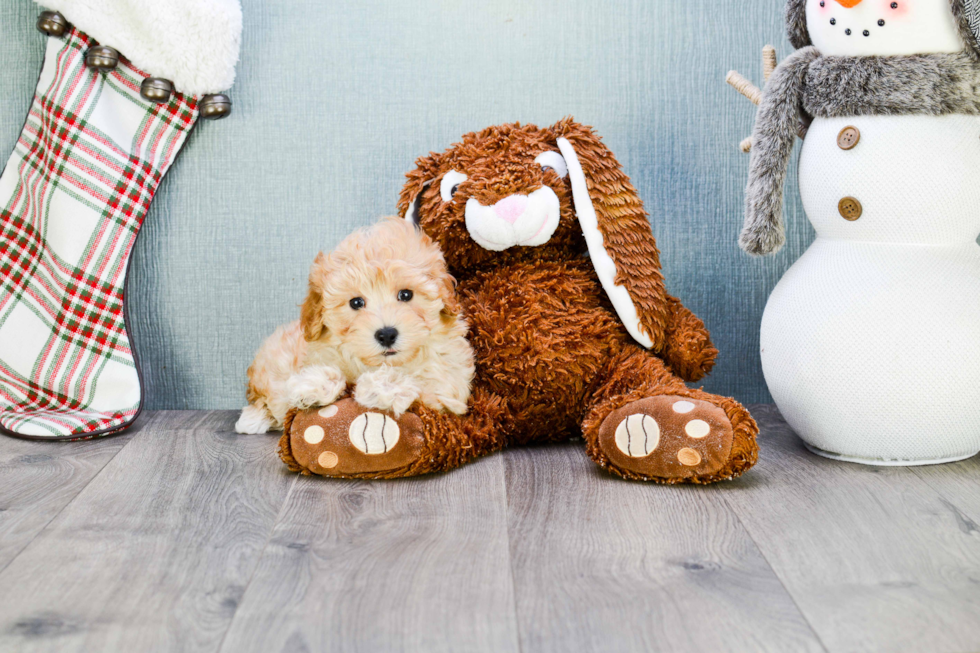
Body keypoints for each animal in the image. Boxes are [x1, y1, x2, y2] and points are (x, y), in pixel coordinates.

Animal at [234, 216, 470, 436]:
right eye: (356, 302)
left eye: (406, 295)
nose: (386, 334)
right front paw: (312, 385)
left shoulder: (449, 392)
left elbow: (422, 385)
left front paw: (380, 386)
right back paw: (252, 420)